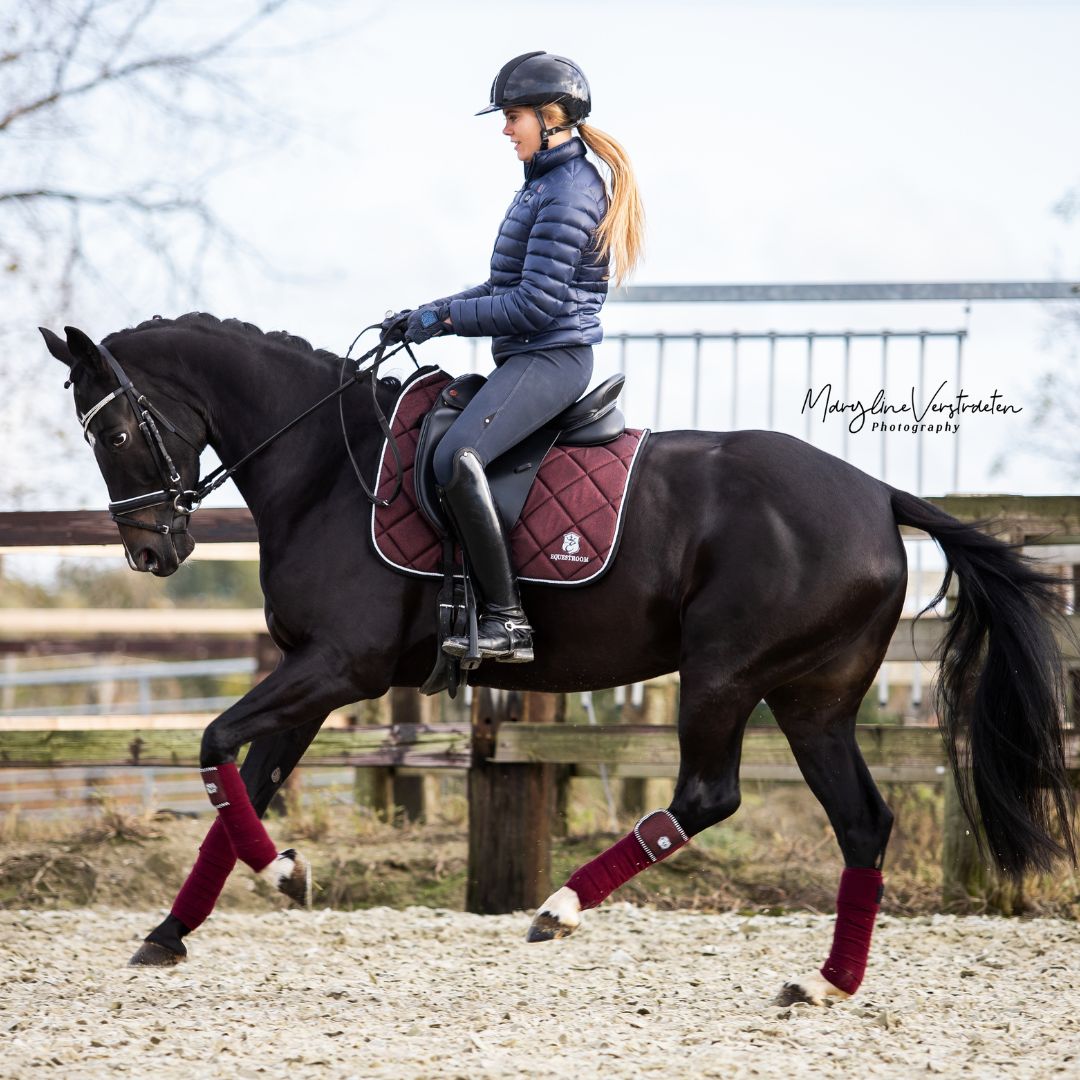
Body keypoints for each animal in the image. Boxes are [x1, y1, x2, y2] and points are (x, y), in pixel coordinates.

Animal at [39, 315, 1071, 1006]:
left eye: (116, 431)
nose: (151, 553)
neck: (327, 467)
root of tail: (878, 493)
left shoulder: (339, 668)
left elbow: (214, 744)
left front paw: (280, 874)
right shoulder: (311, 679)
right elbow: (238, 785)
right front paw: (192, 920)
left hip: (726, 674)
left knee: (709, 795)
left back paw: (562, 907)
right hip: (812, 699)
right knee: (862, 822)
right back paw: (825, 985)